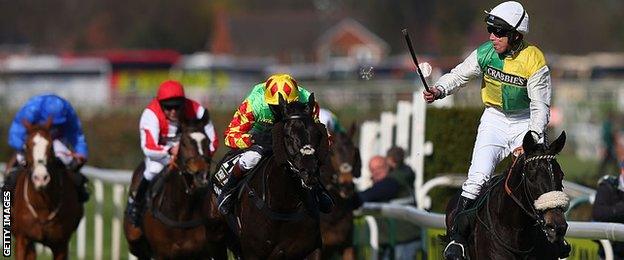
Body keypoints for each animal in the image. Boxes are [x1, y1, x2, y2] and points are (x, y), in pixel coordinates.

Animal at [12, 119, 84, 260]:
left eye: (51, 146)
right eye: (26, 146)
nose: (41, 178)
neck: (42, 205)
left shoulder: (61, 244)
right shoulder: (22, 239)